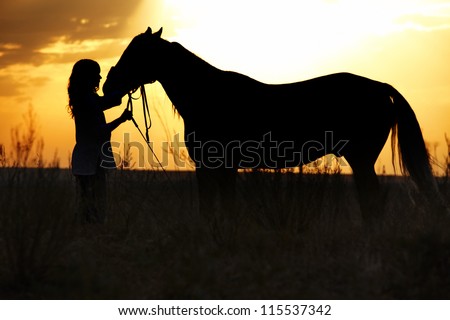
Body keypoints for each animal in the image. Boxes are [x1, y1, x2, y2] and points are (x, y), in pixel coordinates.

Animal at [104, 28, 446, 225]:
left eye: (136, 52)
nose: (109, 85)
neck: (210, 95)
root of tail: (380, 87)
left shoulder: (222, 165)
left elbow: (222, 208)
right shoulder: (211, 166)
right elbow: (211, 208)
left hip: (361, 160)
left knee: (372, 204)